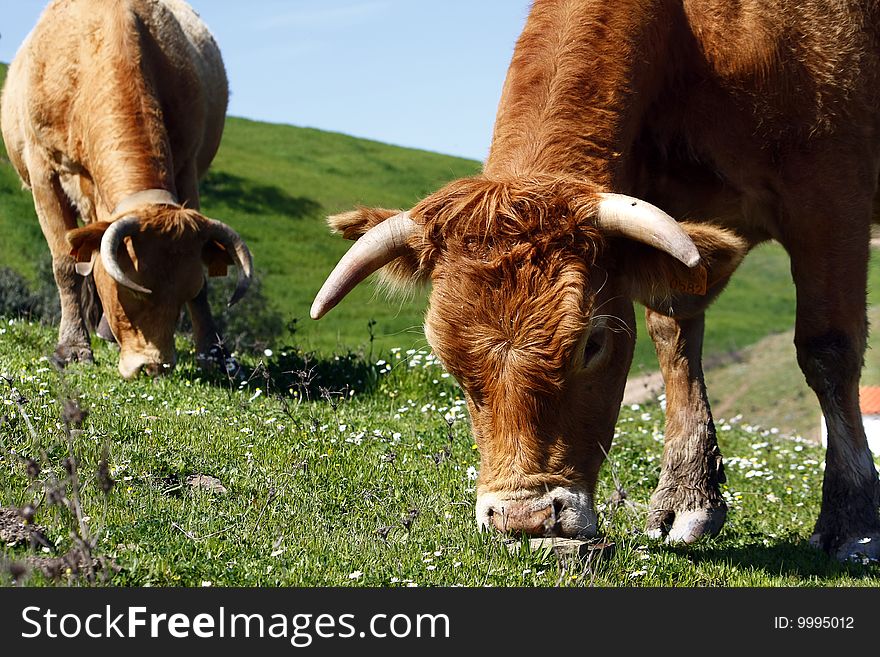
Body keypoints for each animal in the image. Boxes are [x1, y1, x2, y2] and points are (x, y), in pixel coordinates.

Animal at [0, 0, 251, 376]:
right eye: (128, 290)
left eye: (186, 289)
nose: (153, 366)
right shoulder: (42, 169)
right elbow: (66, 263)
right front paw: (72, 349)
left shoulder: (187, 166)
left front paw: (214, 353)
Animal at [312, 1, 880, 564]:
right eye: (447, 358)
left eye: (592, 343)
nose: (524, 519)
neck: (698, 41)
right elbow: (674, 337)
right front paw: (688, 498)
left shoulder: (831, 199)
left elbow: (828, 351)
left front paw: (852, 523)